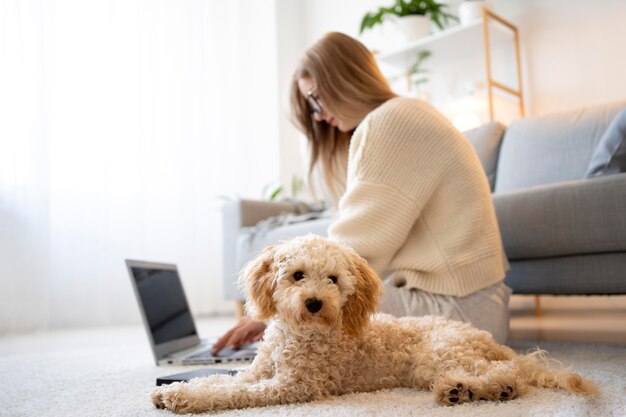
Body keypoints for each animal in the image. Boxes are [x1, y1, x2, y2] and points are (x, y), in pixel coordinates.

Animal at [151, 234, 596, 412]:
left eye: (333, 279)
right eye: (297, 275)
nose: (315, 302)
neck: (298, 336)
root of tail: (487, 338)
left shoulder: (293, 386)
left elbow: (230, 394)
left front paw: (186, 400)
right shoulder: (255, 373)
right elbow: (218, 381)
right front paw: (173, 392)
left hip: (441, 352)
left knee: (508, 376)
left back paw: (471, 390)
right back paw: (462, 390)